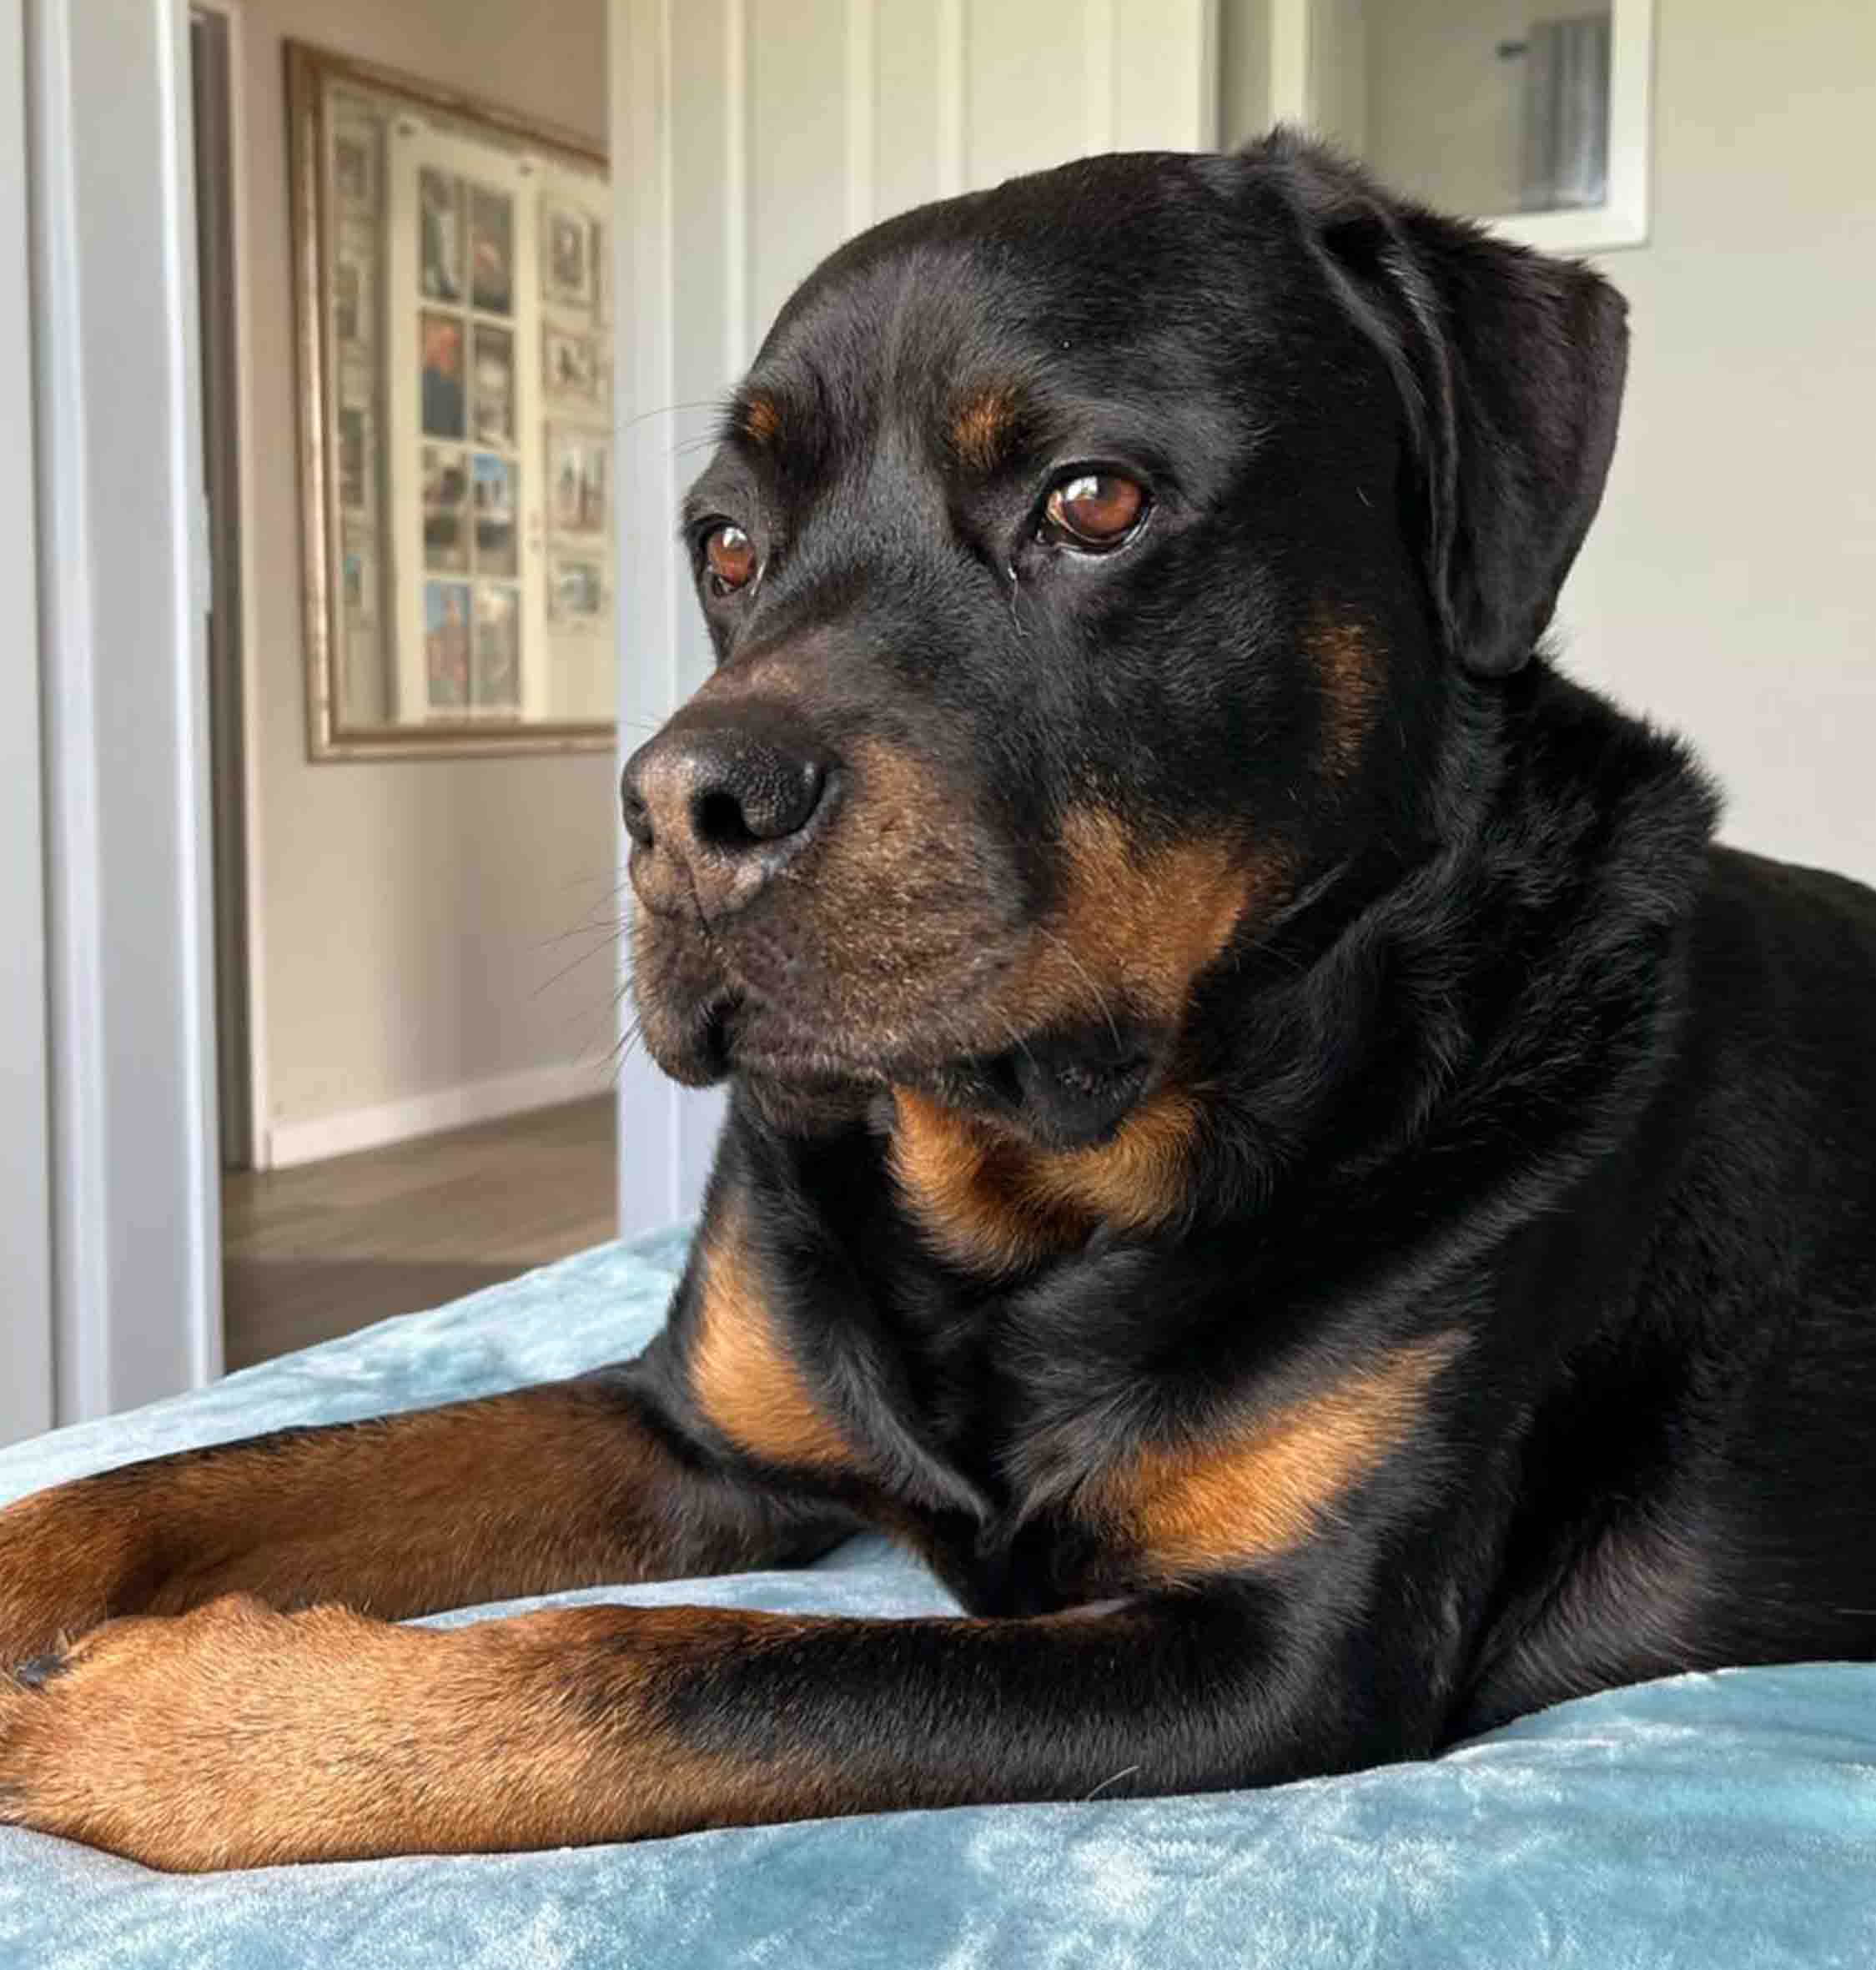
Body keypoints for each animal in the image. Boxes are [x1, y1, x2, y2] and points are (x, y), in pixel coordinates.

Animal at [3, 134, 1876, 1859]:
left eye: (1091, 499)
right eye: (725, 545)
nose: (677, 809)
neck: (1025, 1206)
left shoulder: (1273, 1651)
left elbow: (672, 1666)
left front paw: (196, 1717)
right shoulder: (686, 1425)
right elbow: (181, 1476)